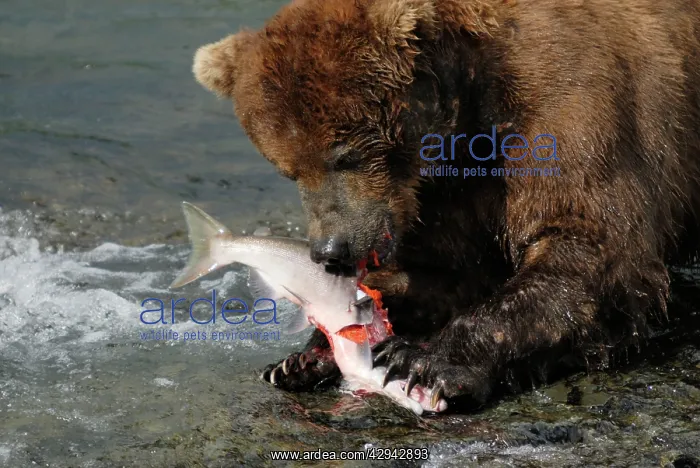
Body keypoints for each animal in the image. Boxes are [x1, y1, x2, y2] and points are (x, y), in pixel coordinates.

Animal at [191, 0, 700, 408]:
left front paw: (421, 361)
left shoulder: (570, 109)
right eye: (287, 169)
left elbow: (592, 249)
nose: (331, 251)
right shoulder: (440, 196)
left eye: (346, 155)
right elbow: (448, 275)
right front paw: (302, 358)